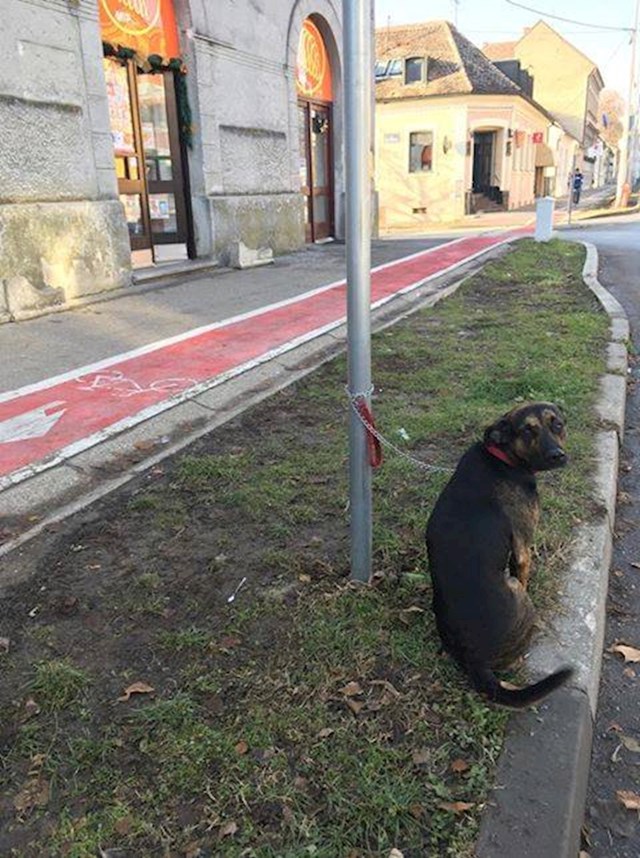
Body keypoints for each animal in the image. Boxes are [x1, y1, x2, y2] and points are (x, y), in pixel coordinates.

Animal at [428, 402, 572, 708]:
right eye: (527, 430)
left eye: (556, 423)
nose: (557, 455)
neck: (503, 458)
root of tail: (475, 659)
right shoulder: (522, 549)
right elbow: (525, 569)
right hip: (516, 591)